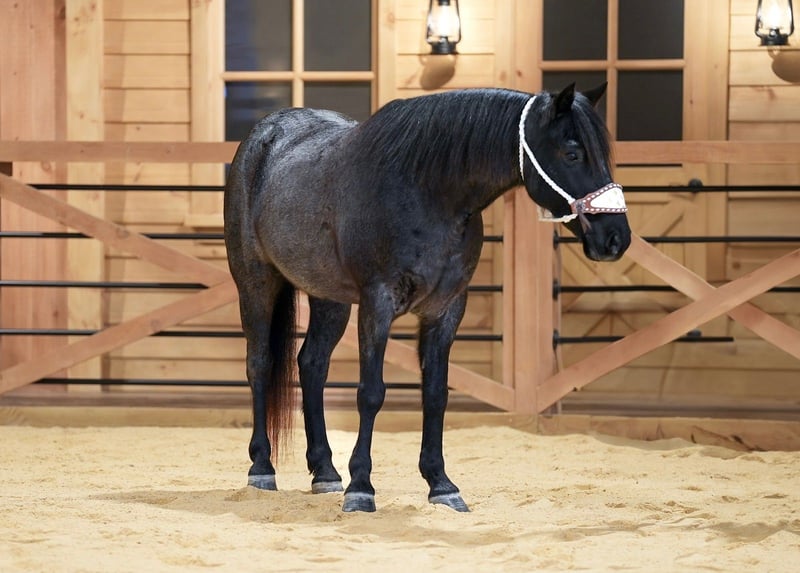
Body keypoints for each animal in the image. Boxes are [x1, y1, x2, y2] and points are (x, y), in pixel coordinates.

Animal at [223, 83, 631, 513]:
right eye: (572, 153)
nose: (615, 238)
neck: (426, 191)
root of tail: (264, 135)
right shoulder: (377, 303)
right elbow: (371, 393)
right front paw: (361, 488)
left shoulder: (446, 309)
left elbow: (435, 394)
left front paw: (441, 484)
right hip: (255, 282)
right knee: (260, 364)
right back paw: (262, 468)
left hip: (329, 297)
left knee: (312, 364)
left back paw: (325, 472)